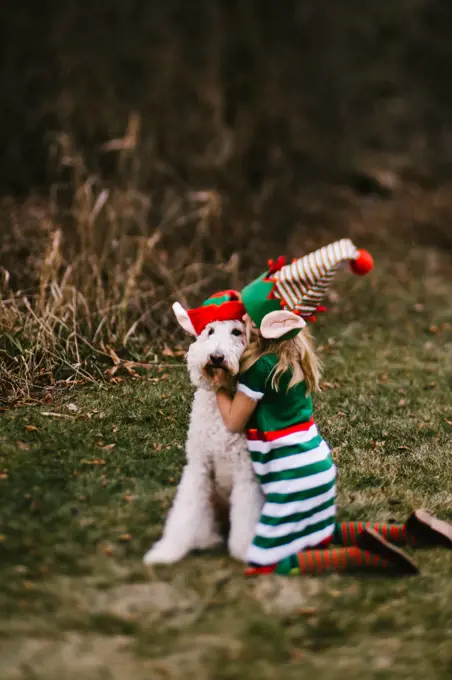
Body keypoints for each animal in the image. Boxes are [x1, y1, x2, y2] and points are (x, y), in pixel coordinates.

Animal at [144, 306, 264, 564]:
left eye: (237, 332)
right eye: (210, 331)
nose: (216, 357)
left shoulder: (245, 473)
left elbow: (246, 516)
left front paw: (245, 551)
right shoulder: (198, 466)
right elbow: (185, 511)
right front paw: (167, 551)